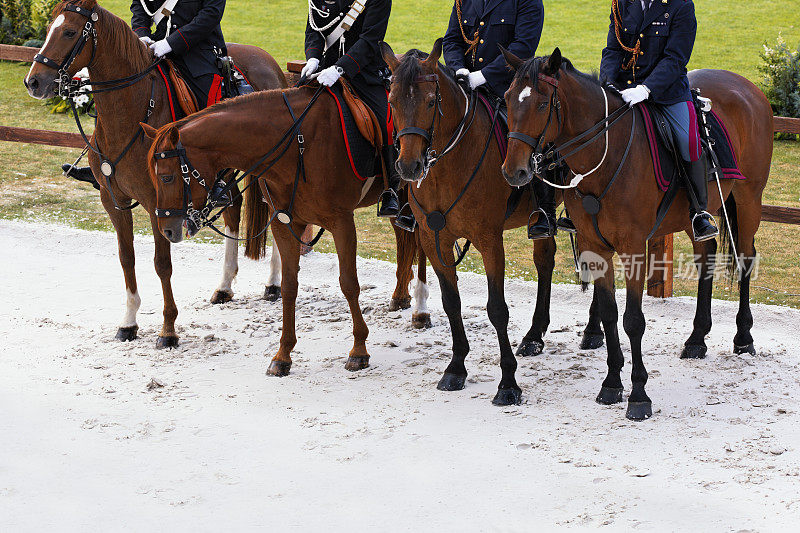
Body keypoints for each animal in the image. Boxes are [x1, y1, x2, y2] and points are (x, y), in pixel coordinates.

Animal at [23, 0, 288, 348]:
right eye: (50, 27)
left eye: (68, 32)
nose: (34, 82)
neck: (130, 115)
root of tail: (270, 62)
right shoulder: (114, 200)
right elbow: (127, 258)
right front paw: (128, 322)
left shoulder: (158, 203)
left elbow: (162, 264)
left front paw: (168, 330)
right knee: (233, 207)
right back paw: (224, 286)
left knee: (276, 213)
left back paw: (273, 283)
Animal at [142, 84, 432, 374]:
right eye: (154, 178)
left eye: (166, 177)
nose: (167, 230)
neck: (297, 144)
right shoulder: (284, 223)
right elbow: (289, 286)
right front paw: (283, 355)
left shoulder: (342, 223)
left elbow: (349, 284)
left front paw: (359, 350)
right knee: (404, 240)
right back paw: (401, 297)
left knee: (420, 245)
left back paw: (420, 309)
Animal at [378, 39, 604, 406]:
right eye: (392, 101)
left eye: (430, 102)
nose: (409, 167)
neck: (448, 167)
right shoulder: (434, 240)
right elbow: (451, 301)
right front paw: (456, 367)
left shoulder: (489, 239)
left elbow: (497, 308)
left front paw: (508, 383)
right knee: (545, 260)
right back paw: (534, 334)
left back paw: (593, 331)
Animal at [504, 46, 772, 420]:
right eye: (507, 99)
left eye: (542, 104)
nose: (514, 171)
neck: (606, 155)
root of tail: (745, 85)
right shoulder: (595, 246)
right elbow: (610, 313)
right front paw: (612, 384)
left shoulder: (633, 248)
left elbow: (633, 320)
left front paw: (639, 394)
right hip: (696, 214)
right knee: (707, 254)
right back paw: (696, 339)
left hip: (749, 201)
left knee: (746, 259)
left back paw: (743, 336)